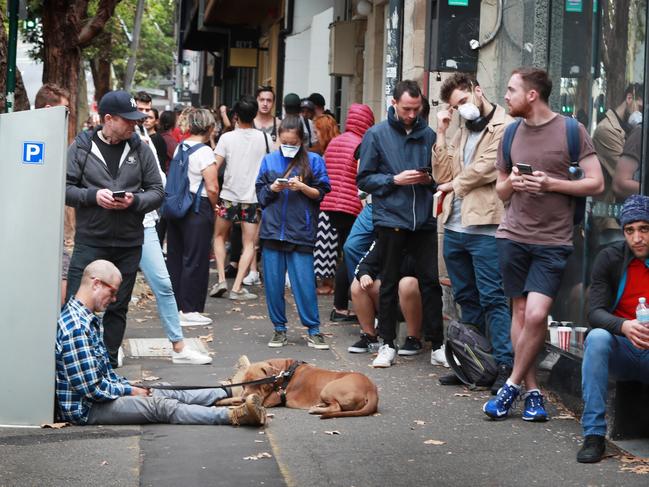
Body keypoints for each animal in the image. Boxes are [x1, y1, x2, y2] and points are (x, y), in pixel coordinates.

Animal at [228, 356, 380, 422]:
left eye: (257, 383)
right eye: (243, 384)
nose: (245, 398)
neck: (285, 371)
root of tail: (371, 389)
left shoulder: (267, 401)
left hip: (329, 388)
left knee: (337, 407)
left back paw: (316, 409)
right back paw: (319, 405)